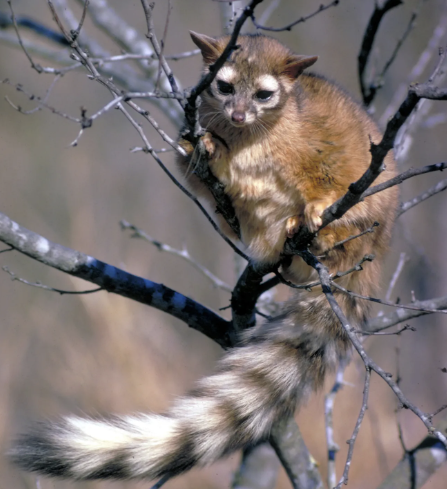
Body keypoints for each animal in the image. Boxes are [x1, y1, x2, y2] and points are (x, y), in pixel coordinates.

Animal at [10, 31, 398, 480]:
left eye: (264, 94)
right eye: (224, 87)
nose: (239, 115)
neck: (253, 132)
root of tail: (374, 250)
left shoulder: (327, 138)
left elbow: (337, 170)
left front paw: (318, 205)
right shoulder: (196, 133)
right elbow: (191, 159)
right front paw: (213, 146)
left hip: (368, 219)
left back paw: (318, 230)